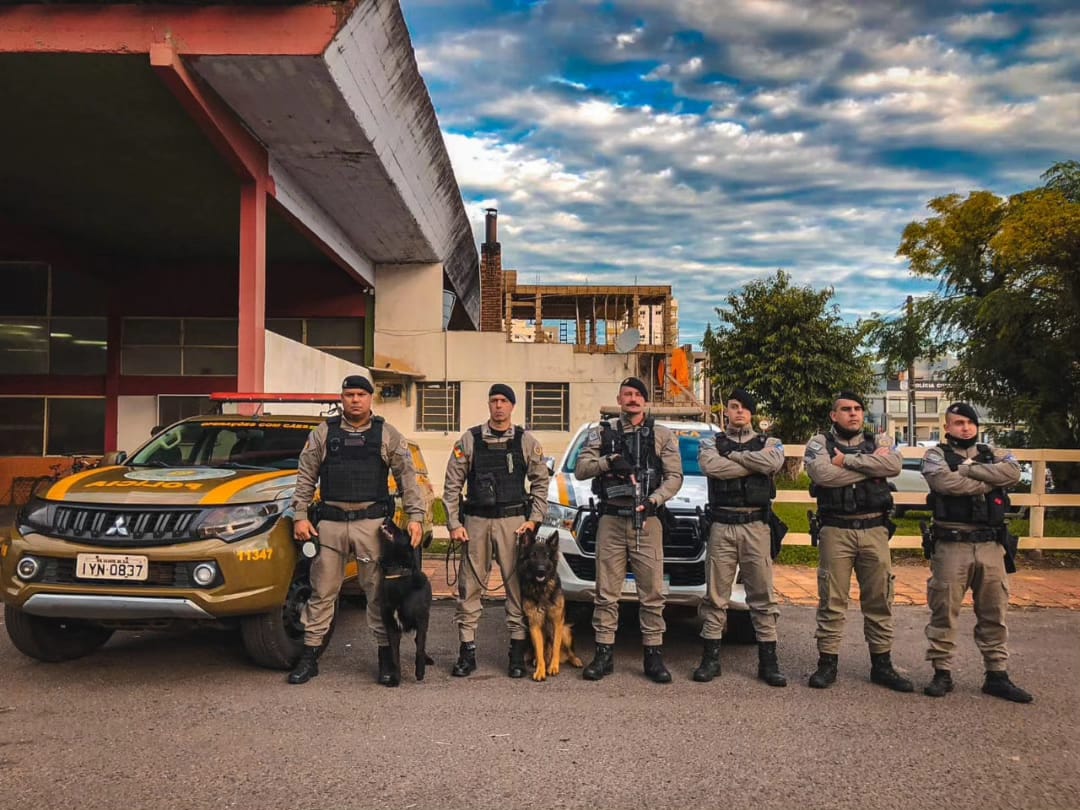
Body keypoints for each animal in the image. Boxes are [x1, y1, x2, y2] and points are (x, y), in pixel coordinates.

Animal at [378, 522, 432, 686]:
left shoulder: (421, 621)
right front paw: (395, 679)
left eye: (402, 531)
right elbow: (394, 657)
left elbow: (419, 648)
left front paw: (419, 672)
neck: (397, 573)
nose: (387, 518)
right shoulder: (391, 627)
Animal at [516, 529, 583, 682]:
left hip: (566, 630)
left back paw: (575, 660)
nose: (541, 570)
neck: (541, 589)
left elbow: (556, 646)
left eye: (546, 555)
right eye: (533, 555)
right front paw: (540, 670)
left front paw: (553, 666)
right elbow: (539, 651)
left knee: (568, 652)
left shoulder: (557, 623)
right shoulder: (534, 625)